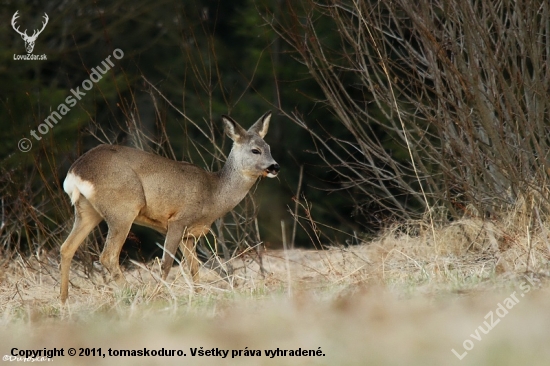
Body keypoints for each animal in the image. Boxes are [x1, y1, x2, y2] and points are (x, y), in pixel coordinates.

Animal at [60, 111, 280, 304]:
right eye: (255, 150)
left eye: (269, 147)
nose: (275, 167)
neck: (213, 195)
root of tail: (75, 172)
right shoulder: (177, 220)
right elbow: (166, 263)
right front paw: (156, 295)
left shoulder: (188, 235)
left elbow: (194, 267)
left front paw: (197, 295)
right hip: (122, 208)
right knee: (108, 256)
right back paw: (132, 295)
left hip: (87, 210)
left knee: (67, 247)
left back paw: (63, 301)